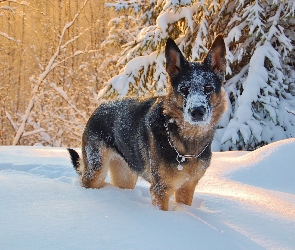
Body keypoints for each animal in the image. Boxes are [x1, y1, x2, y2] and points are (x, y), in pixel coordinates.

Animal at [68, 34, 228, 211]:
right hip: (96, 172)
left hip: (126, 177)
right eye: (184, 89)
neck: (187, 142)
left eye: (208, 88)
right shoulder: (161, 190)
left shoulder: (187, 187)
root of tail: (99, 107)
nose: (197, 112)